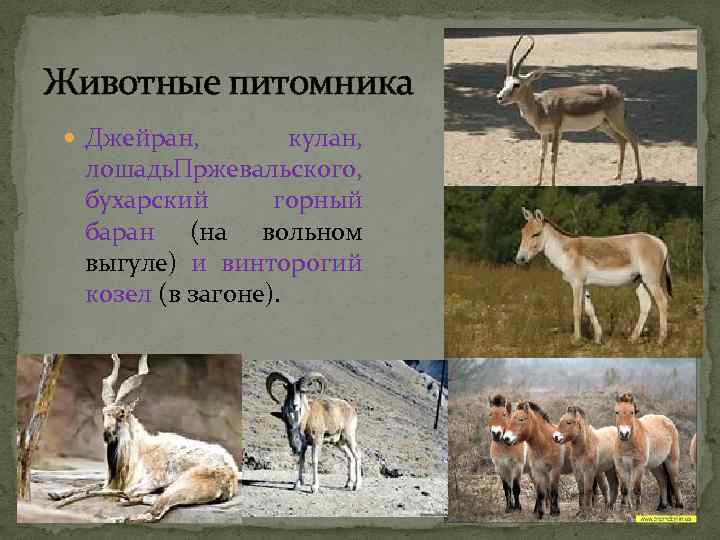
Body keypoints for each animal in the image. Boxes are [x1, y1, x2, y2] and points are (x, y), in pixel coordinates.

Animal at [515, 207, 672, 345]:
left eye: (536, 234)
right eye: (522, 232)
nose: (519, 259)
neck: (566, 252)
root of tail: (660, 242)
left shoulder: (577, 283)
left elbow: (577, 310)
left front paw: (576, 340)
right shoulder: (584, 284)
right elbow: (589, 310)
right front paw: (597, 338)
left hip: (651, 280)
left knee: (662, 302)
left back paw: (661, 340)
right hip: (640, 281)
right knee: (646, 305)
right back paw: (633, 339)